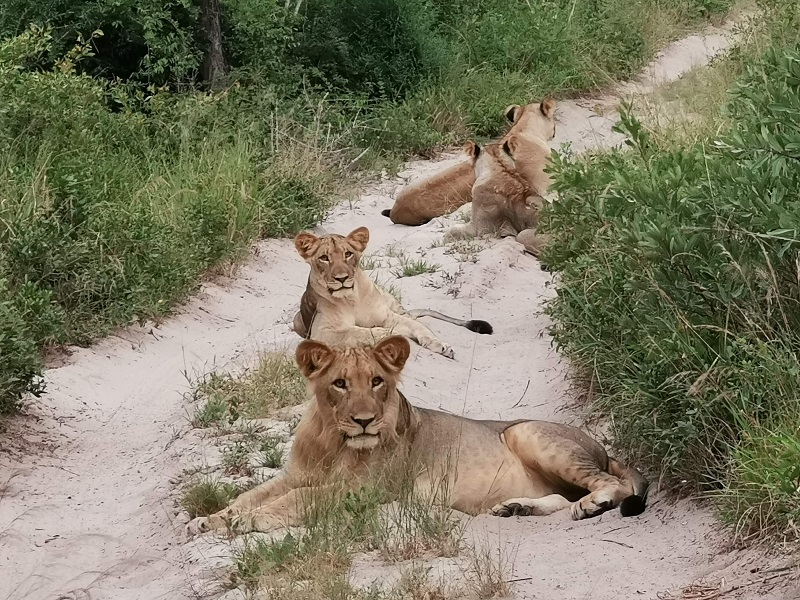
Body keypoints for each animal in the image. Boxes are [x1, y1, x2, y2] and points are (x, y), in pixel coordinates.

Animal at [188, 336, 648, 536]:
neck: (334, 441)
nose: (364, 421)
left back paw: (592, 505)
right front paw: (210, 519)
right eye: (339, 384)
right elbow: (251, 494)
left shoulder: (364, 490)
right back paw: (515, 508)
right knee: (562, 496)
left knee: (612, 483)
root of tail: (601, 446)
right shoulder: (296, 474)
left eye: (376, 381)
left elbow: (299, 500)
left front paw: (248, 521)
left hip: (527, 432)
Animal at [290, 224, 490, 356]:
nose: (342, 278)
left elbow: (415, 325)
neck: (351, 298)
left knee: (412, 316)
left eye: (348, 254)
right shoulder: (321, 332)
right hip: (297, 321)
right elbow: (358, 331)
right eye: (324, 258)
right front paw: (387, 334)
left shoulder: (386, 315)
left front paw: (439, 344)